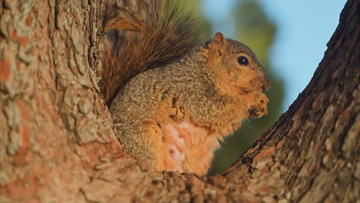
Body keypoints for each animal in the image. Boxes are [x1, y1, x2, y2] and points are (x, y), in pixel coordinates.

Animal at [100, 0, 268, 176]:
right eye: (243, 60)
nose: (267, 84)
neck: (205, 70)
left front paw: (261, 104)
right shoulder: (190, 89)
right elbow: (213, 109)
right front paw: (255, 98)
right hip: (143, 139)